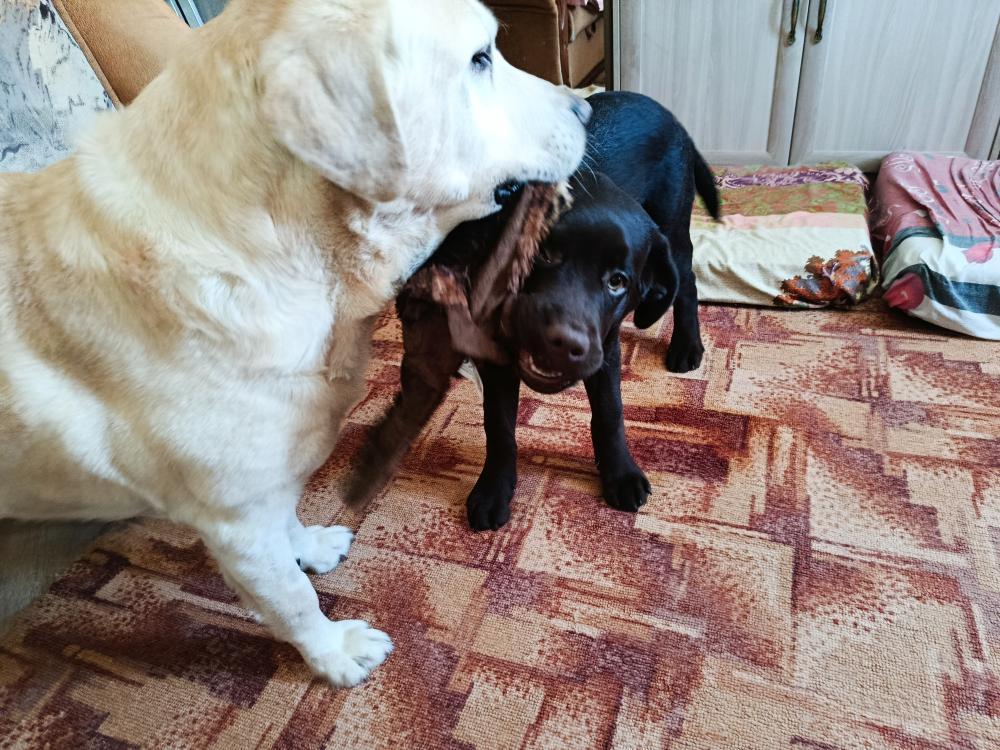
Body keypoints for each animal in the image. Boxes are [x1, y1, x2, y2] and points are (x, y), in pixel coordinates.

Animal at [0, 0, 588, 687]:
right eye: (480, 58)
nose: (587, 109)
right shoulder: (235, 520)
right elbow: (291, 597)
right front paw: (334, 653)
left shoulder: (271, 480)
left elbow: (289, 525)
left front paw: (310, 546)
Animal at [348, 91, 720, 530]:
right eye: (540, 254)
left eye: (617, 281)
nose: (560, 341)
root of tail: (668, 115)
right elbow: (499, 427)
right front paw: (494, 489)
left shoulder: (605, 346)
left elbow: (609, 412)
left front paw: (620, 474)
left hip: (672, 226)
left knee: (688, 283)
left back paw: (687, 346)